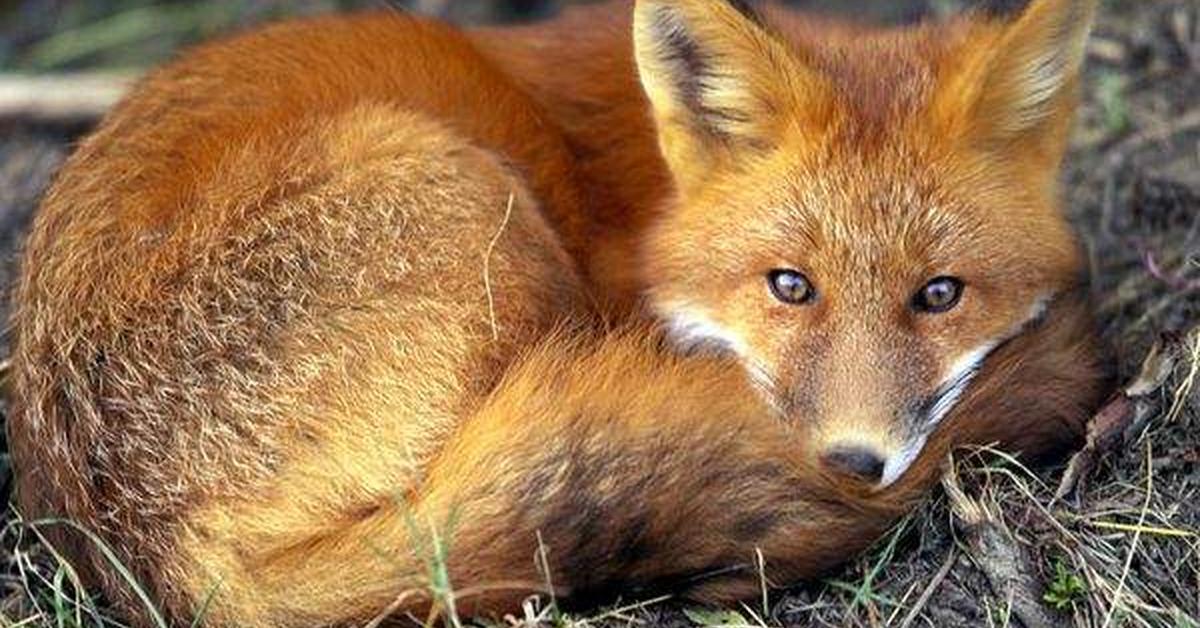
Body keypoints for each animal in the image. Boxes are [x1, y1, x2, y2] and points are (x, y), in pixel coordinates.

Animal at [7, 0, 1104, 624]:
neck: (653, 188)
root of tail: (146, 550)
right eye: (789, 285)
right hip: (473, 200)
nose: (854, 464)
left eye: (939, 295)